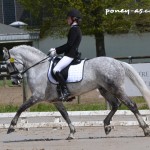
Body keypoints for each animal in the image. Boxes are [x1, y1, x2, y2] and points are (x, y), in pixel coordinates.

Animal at [3, 45, 150, 139]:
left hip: (115, 88)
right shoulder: (55, 101)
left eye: (9, 64)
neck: (39, 68)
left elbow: (21, 108)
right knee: (116, 105)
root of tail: (118, 62)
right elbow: (65, 115)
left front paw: (11, 127)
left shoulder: (37, 97)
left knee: (131, 105)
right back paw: (107, 126)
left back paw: (145, 129)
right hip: (104, 89)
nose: (15, 82)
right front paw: (72, 133)